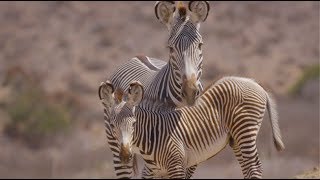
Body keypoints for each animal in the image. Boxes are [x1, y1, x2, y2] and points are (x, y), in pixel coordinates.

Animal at [99, 76, 284, 179]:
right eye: (113, 125)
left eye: (134, 123)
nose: (125, 156)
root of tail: (256, 85)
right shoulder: (153, 172)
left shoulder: (176, 167)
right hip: (236, 139)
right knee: (248, 169)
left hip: (245, 131)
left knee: (254, 168)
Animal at [100, 1, 210, 179]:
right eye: (170, 48)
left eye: (200, 45)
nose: (190, 91)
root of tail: (137, 56)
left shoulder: (193, 156)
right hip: (116, 146)